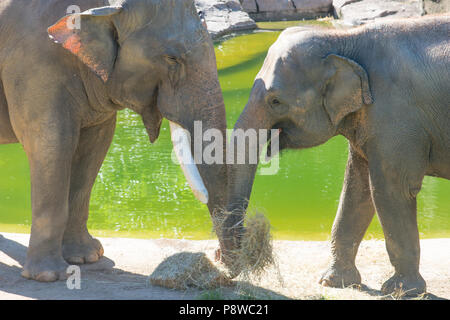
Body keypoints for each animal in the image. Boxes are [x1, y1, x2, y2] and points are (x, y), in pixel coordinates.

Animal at [0, 0, 229, 282]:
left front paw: (87, 257)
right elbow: (52, 143)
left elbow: (95, 145)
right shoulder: (32, 66)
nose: (219, 258)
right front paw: (50, 276)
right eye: (172, 58)